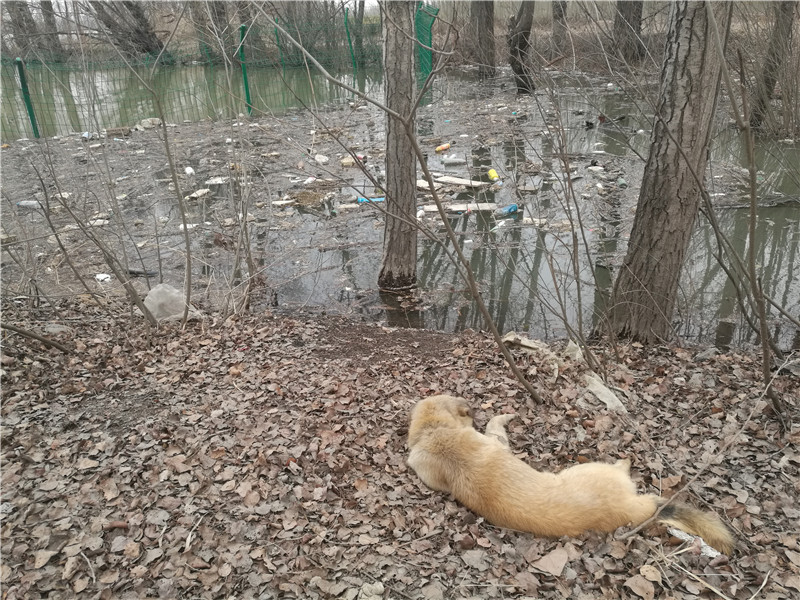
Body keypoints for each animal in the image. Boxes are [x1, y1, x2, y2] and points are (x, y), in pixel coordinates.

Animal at [410, 396, 736, 556]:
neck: (435, 431)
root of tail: (632, 508)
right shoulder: (493, 440)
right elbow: (495, 425)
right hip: (591, 469)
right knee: (623, 467)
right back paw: (626, 459)